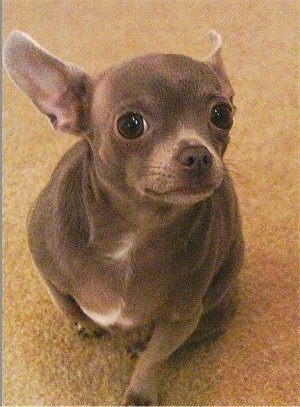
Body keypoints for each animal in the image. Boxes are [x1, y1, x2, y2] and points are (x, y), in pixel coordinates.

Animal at [4, 30, 244, 406]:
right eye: (130, 125)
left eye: (222, 115)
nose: (198, 154)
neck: (134, 231)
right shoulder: (44, 267)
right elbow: (65, 303)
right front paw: (87, 323)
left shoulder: (182, 317)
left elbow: (156, 357)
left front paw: (140, 391)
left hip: (220, 290)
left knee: (203, 327)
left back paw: (143, 339)